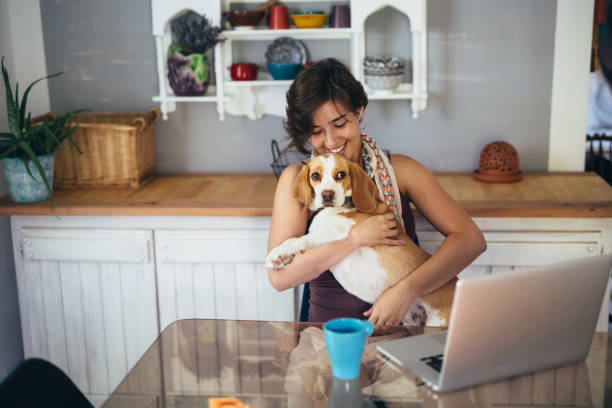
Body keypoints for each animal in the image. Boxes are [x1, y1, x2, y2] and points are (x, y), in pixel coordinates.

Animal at [266, 154, 456, 328]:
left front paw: (277, 254)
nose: (327, 195)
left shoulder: (343, 229)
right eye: (315, 175)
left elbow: (300, 239)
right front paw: (283, 259)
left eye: (341, 174)